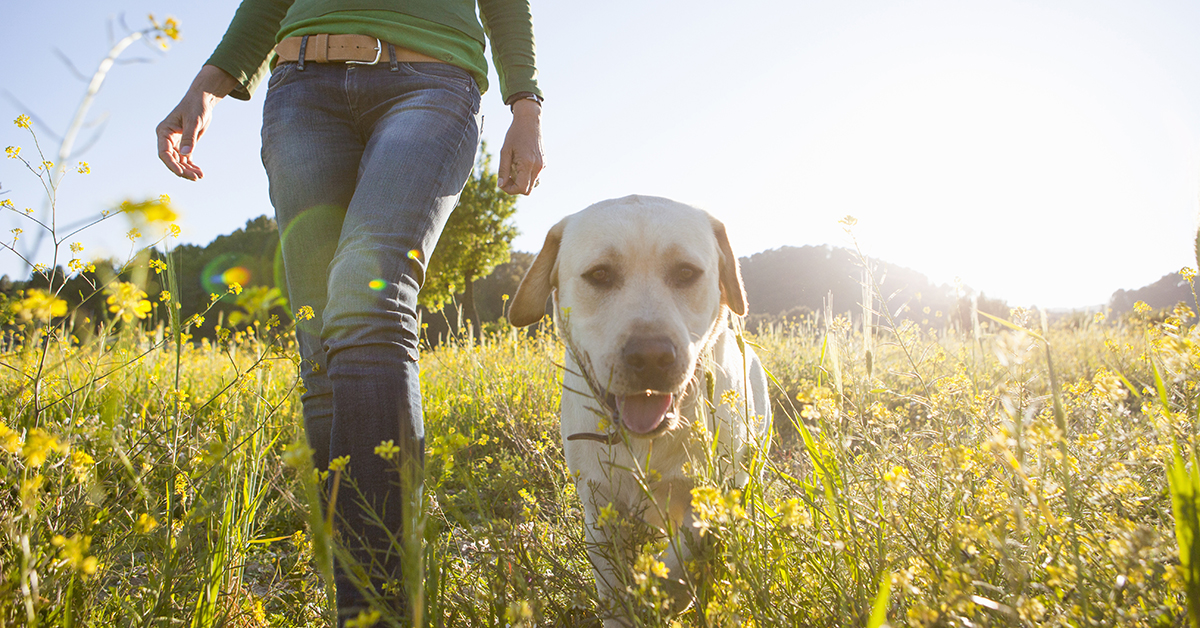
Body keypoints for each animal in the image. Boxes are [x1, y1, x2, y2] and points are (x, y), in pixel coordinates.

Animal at [504, 194, 768, 624]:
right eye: (599, 274)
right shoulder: (599, 504)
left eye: (686, 272)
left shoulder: (715, 487)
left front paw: (666, 594)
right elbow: (612, 587)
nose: (651, 356)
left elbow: (688, 552)